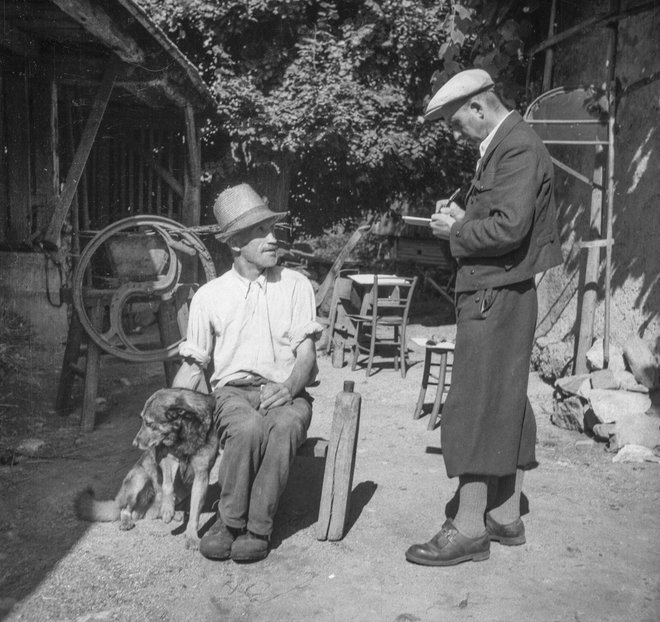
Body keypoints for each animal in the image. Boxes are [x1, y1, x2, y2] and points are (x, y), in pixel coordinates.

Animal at [75, 390, 219, 552]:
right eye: (142, 421)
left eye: (150, 423)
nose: (134, 443)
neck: (184, 434)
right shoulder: (165, 456)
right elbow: (167, 485)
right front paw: (167, 507)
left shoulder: (201, 476)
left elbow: (195, 513)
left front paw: (192, 536)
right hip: (140, 478)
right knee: (125, 510)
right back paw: (132, 519)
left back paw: (175, 513)